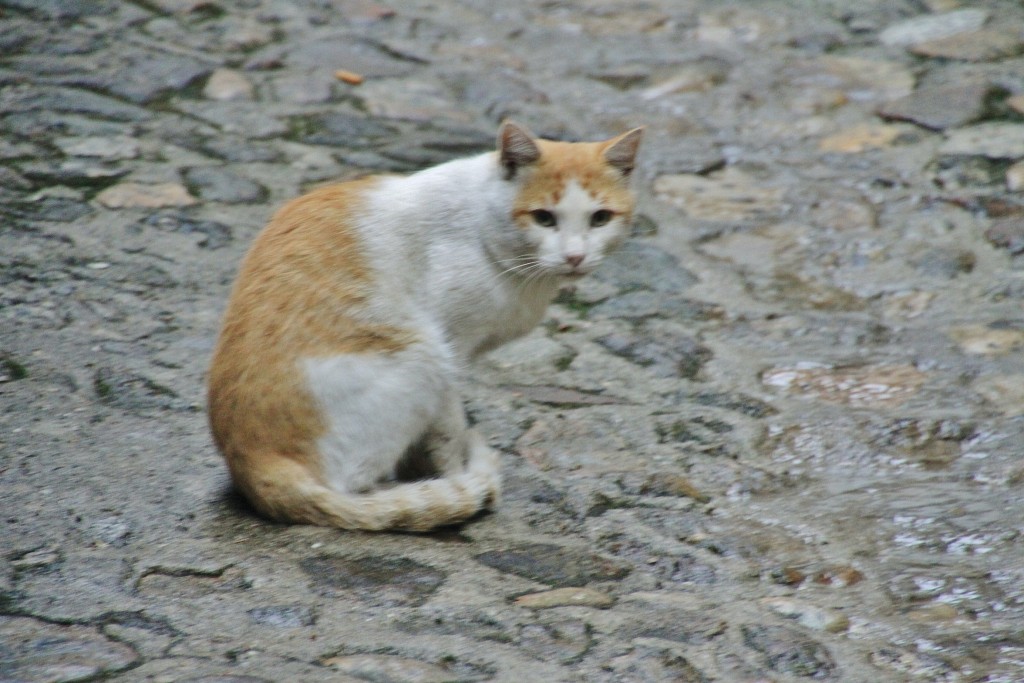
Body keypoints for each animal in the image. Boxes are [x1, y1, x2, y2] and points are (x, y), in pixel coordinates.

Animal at [204, 120, 643, 532]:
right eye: (544, 218)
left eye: (600, 218)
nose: (575, 257)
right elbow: (449, 432)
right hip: (422, 355)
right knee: (349, 489)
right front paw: (452, 480)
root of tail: (253, 464)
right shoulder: (452, 349)